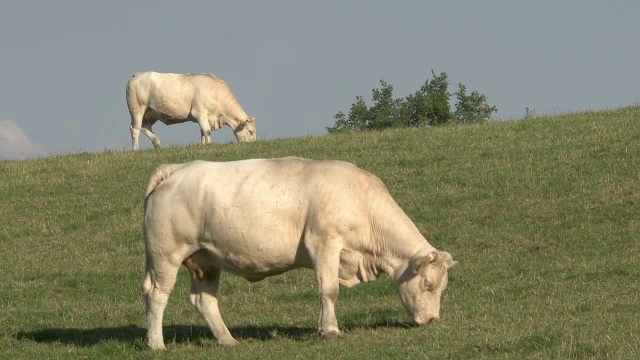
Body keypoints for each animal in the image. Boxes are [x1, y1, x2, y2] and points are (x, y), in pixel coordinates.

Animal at [125, 71, 255, 150]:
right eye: (250, 131)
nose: (253, 144)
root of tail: (138, 74)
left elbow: (202, 131)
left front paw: (203, 145)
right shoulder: (199, 111)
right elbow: (207, 131)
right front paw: (209, 145)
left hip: (150, 113)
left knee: (144, 127)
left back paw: (157, 144)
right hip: (137, 110)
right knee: (135, 129)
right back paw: (136, 149)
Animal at [142, 157, 458, 348]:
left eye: (443, 288)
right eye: (428, 284)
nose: (433, 320)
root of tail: (177, 168)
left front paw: (321, 327)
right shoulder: (324, 243)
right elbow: (329, 289)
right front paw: (330, 330)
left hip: (206, 260)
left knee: (203, 299)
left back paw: (227, 340)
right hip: (165, 255)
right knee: (157, 296)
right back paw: (156, 343)